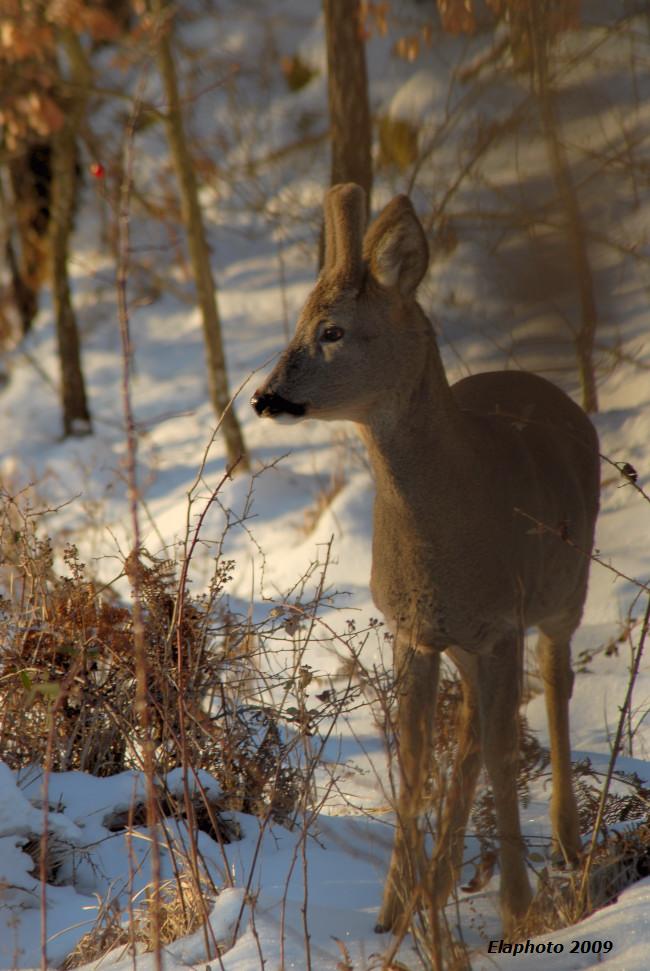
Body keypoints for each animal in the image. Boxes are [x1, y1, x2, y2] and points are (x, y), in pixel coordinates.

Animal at [248, 184, 596, 940]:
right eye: (299, 322)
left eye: (333, 330)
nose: (263, 396)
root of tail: (550, 388)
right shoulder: (412, 627)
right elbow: (413, 759)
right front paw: (390, 911)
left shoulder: (500, 619)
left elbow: (502, 748)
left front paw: (518, 910)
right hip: (466, 637)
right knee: (470, 725)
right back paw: (438, 879)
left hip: (565, 589)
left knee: (554, 684)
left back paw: (565, 843)